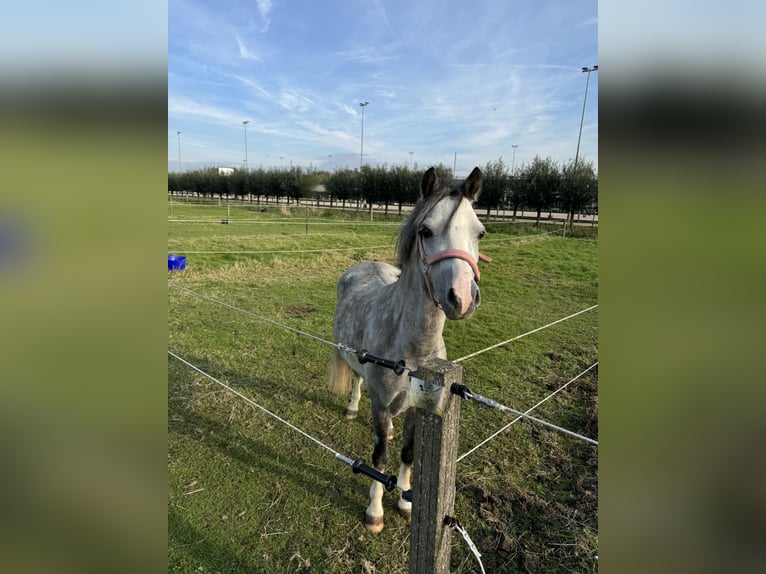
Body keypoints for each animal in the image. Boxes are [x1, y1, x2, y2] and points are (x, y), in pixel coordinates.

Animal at [328, 166, 486, 536]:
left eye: (480, 233)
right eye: (426, 231)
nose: (463, 297)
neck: (413, 354)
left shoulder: (419, 410)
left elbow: (409, 454)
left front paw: (404, 502)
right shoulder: (381, 405)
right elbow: (379, 459)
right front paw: (375, 512)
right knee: (357, 380)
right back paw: (353, 408)